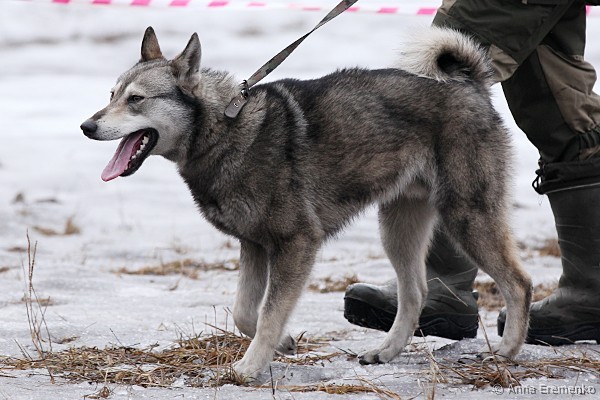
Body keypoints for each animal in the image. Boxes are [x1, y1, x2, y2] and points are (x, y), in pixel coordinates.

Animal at [81, 26, 532, 381]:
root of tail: (470, 87)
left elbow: (267, 312)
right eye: (111, 94)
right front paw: (282, 344)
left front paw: (249, 367)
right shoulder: (254, 246)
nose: (86, 125)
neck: (226, 127)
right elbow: (245, 312)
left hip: (466, 217)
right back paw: (385, 351)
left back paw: (506, 352)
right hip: (399, 228)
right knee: (416, 292)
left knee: (518, 283)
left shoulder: (295, 243)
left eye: (136, 99)